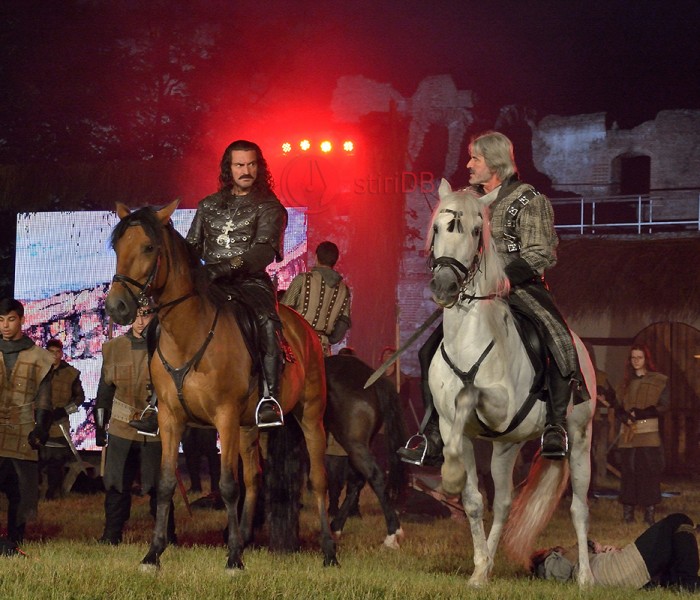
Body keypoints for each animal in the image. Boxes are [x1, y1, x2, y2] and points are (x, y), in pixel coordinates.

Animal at [105, 199, 338, 568]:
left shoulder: (224, 416)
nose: (117, 306)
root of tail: (305, 330)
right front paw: (153, 554)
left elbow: (228, 485)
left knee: (317, 481)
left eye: (148, 247)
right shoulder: (170, 419)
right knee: (254, 480)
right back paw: (242, 538)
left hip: (310, 416)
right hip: (247, 428)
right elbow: (167, 483)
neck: (189, 334)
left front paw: (233, 561)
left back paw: (328, 551)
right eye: (117, 247)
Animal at [430, 179, 592, 584]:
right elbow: (474, 501)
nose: (443, 286)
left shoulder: (500, 405)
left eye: (476, 231)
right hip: (506, 446)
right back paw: (487, 564)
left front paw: (449, 476)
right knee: (502, 503)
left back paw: (585, 577)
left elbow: (468, 394)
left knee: (579, 508)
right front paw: (477, 570)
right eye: (437, 228)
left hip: (580, 439)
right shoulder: (456, 428)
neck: (468, 340)